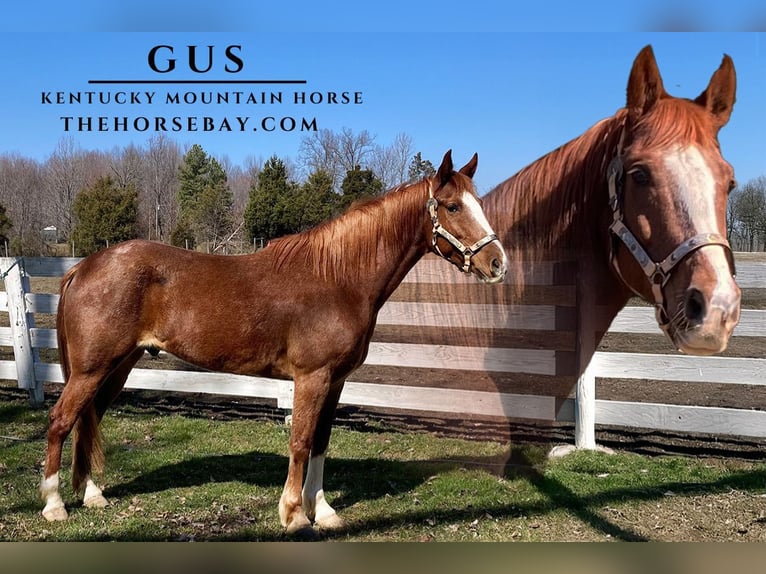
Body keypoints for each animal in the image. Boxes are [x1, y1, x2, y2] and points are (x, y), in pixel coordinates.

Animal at [40, 152, 510, 536]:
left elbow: (321, 442)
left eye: (477, 203)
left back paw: (93, 495)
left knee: (89, 418)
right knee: (62, 420)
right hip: (91, 369)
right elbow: (300, 442)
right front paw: (294, 515)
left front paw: (324, 512)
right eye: (453, 206)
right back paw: (54, 504)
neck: (337, 278)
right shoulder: (312, 378)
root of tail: (84, 267)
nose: (497, 263)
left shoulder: (335, 382)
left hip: (118, 367)